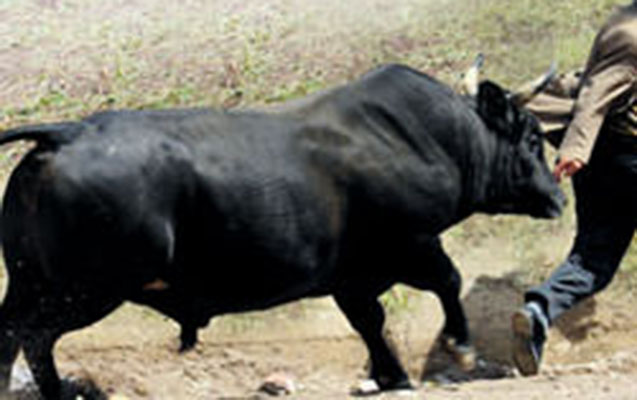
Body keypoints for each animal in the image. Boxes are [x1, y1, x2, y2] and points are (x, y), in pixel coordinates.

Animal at [0, 61, 564, 399]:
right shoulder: (415, 244)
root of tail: (67, 132)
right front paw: (460, 347)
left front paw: (393, 376)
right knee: (35, 338)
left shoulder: (351, 277)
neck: (427, 138)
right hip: (87, 289)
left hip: (31, 282)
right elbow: (448, 282)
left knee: (11, 334)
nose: (559, 197)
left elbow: (370, 323)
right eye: (533, 138)